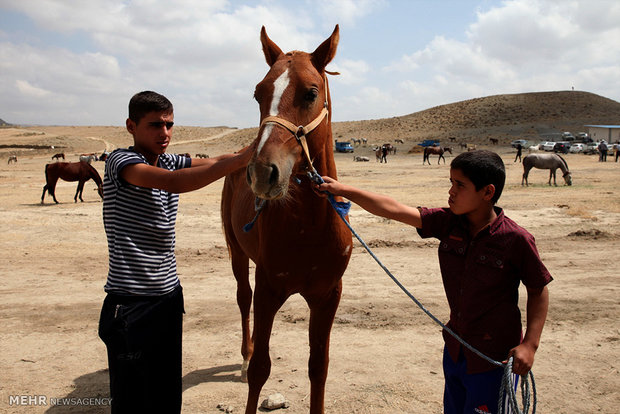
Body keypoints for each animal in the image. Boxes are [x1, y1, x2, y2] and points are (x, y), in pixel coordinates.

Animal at [220, 25, 352, 414]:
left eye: (311, 92)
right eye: (258, 94)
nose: (263, 173)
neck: (309, 225)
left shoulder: (328, 295)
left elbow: (319, 367)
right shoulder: (268, 289)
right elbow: (260, 370)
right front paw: (252, 363)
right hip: (237, 253)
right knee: (242, 298)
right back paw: (244, 354)